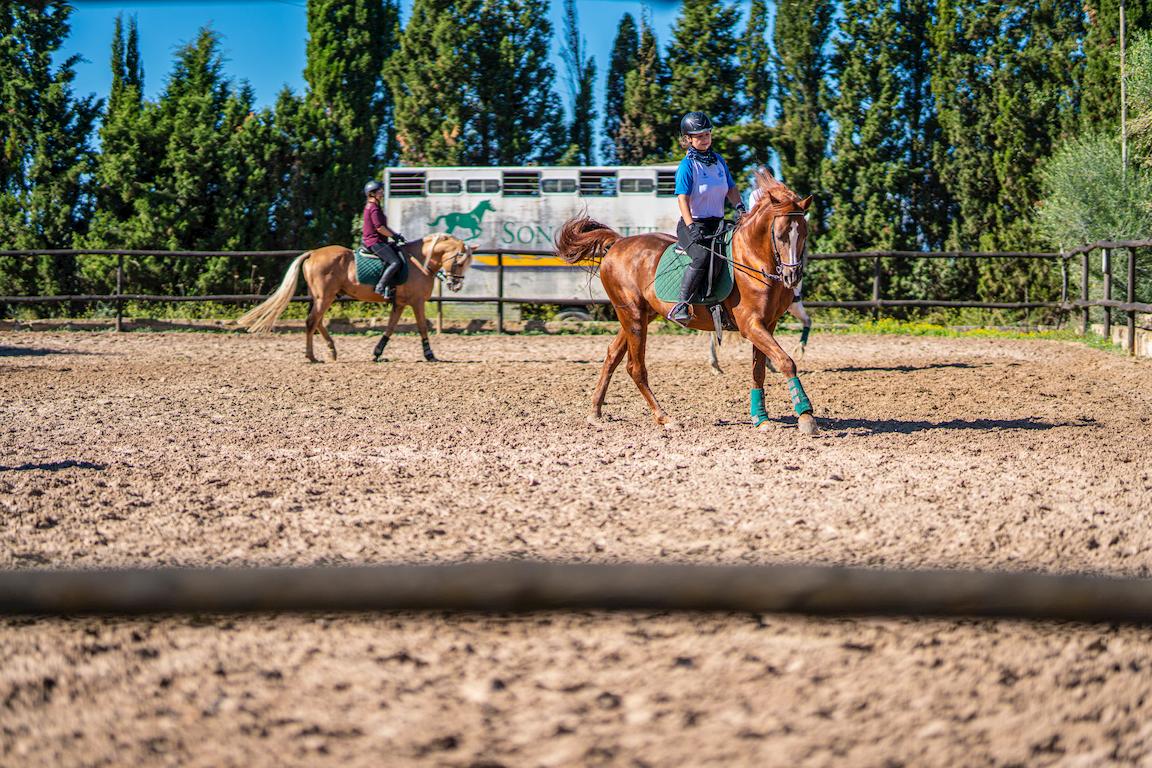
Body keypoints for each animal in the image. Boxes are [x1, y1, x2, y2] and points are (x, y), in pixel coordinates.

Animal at [237, 234, 473, 363]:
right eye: (459, 262)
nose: (456, 285)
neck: (420, 261)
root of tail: (313, 253)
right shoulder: (416, 302)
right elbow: (422, 327)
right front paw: (430, 355)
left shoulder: (399, 303)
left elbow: (390, 328)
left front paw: (377, 353)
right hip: (325, 296)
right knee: (312, 321)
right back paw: (312, 356)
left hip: (323, 297)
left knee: (317, 321)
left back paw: (332, 350)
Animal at [554, 168, 818, 434]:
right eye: (780, 235)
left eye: (804, 234)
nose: (793, 276)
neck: (753, 259)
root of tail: (618, 243)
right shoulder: (750, 325)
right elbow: (786, 362)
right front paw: (806, 416)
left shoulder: (767, 324)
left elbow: (759, 371)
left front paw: (760, 418)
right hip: (633, 315)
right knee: (635, 368)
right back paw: (664, 417)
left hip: (639, 315)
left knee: (612, 356)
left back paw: (595, 412)